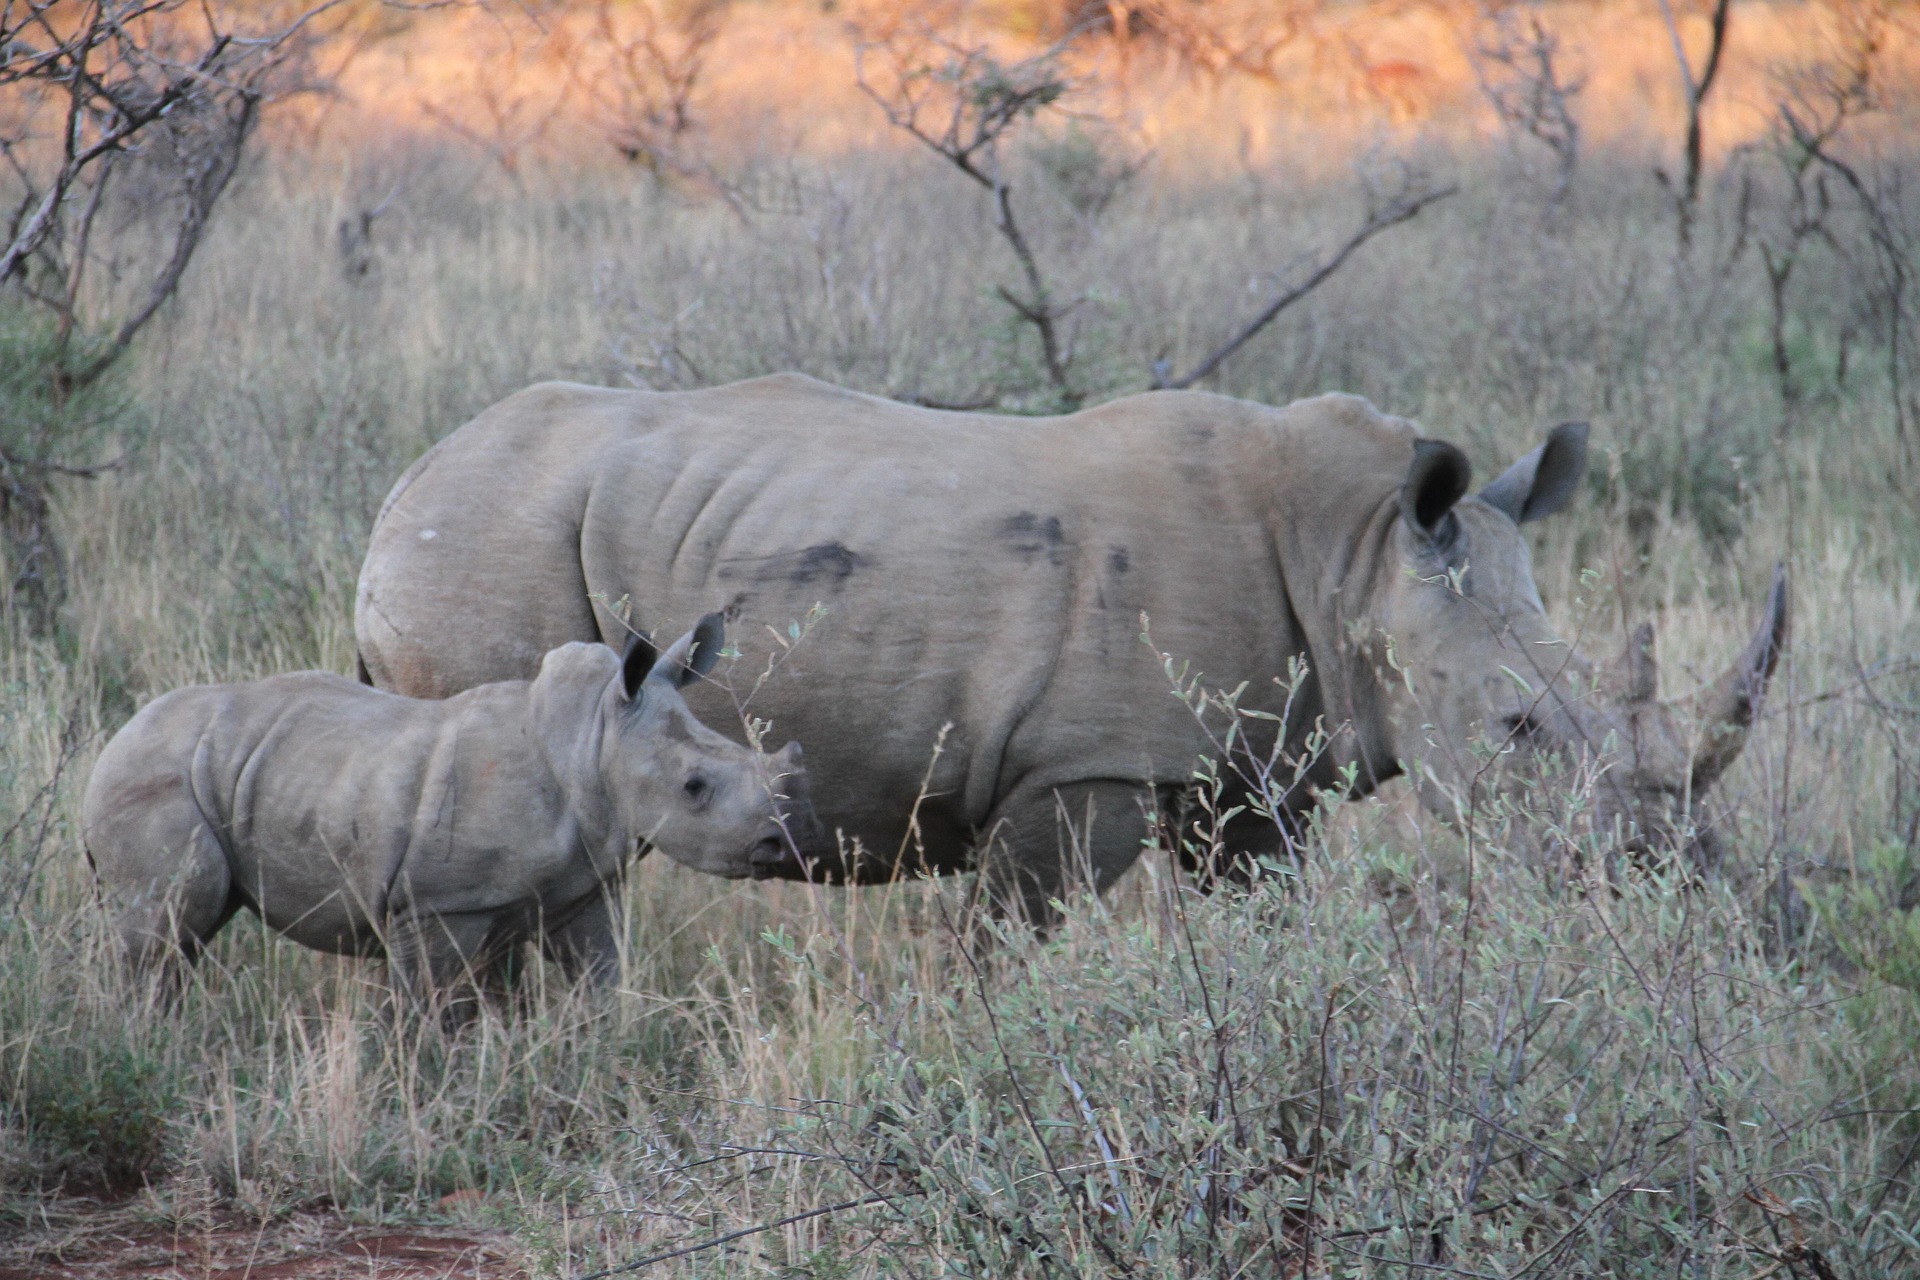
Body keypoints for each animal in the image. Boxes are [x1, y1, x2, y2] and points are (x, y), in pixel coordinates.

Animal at [83, 615, 818, 1005]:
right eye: (694, 787)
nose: (778, 844)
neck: (594, 736)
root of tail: (111, 743)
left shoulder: (581, 885)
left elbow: (600, 978)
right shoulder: (439, 904)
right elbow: (435, 1009)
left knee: (189, 929)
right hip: (155, 777)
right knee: (173, 918)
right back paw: (141, 1045)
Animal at [354, 375, 1787, 921]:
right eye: (1519, 728)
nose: (1670, 874)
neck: (1357, 549)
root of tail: (398, 487)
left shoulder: (1251, 772)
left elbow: (1264, 915)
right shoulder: (1078, 765)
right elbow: (1009, 940)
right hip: (485, 536)